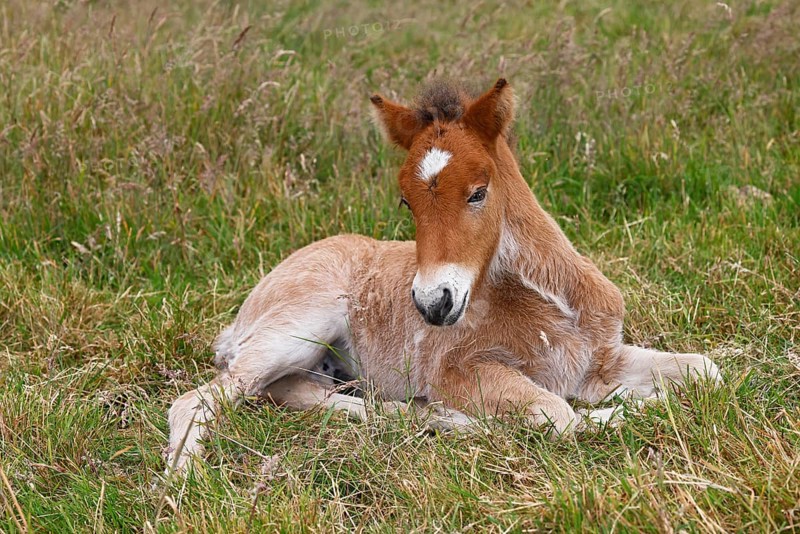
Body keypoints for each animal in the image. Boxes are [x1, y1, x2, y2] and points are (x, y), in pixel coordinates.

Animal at [166, 78, 721, 473]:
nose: (434, 303)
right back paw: (179, 483)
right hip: (299, 325)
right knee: (199, 399)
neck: (553, 302)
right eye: (405, 201)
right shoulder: (455, 370)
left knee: (296, 393)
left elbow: (706, 371)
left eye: (478, 192)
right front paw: (623, 412)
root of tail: (244, 312)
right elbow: (559, 416)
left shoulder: (599, 359)